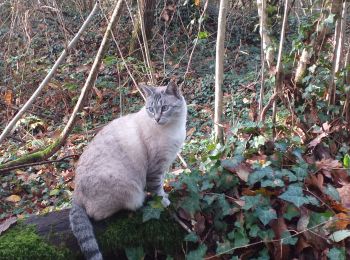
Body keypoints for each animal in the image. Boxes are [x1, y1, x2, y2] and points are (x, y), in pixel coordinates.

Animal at [69, 82, 187, 260]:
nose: (157, 119)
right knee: (97, 213)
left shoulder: (163, 165)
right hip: (128, 190)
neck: (174, 128)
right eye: (151, 109)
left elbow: (161, 184)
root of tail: (75, 193)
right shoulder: (155, 168)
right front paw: (164, 201)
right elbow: (157, 188)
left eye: (165, 108)